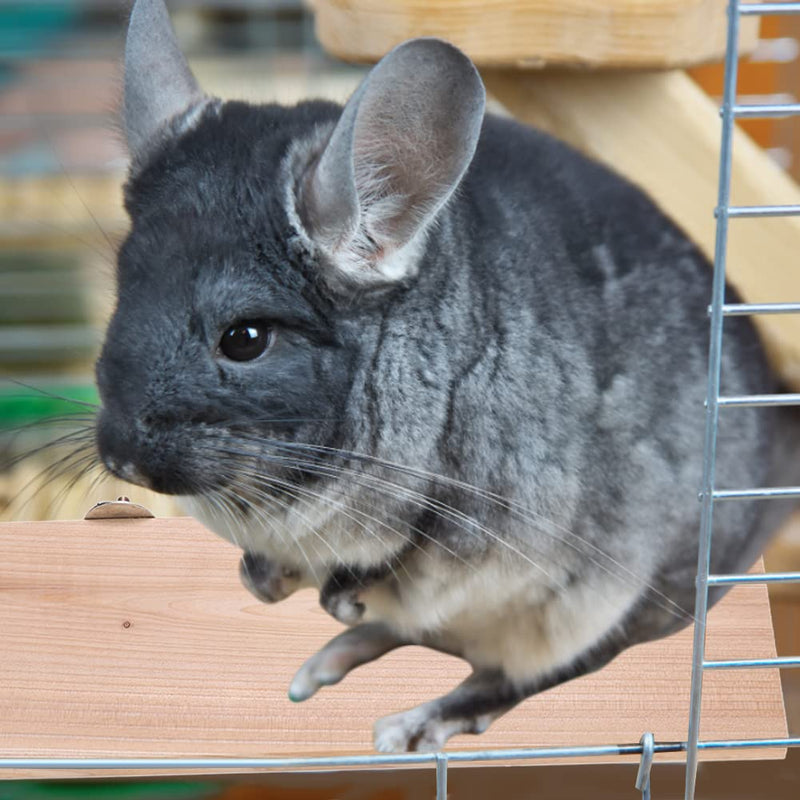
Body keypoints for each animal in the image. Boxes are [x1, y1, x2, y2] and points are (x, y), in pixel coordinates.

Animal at [95, 0, 795, 752]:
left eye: (244, 339)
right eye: (121, 296)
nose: (121, 459)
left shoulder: (488, 507)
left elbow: (407, 560)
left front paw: (338, 595)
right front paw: (263, 581)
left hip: (618, 606)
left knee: (513, 676)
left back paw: (409, 720)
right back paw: (324, 665)